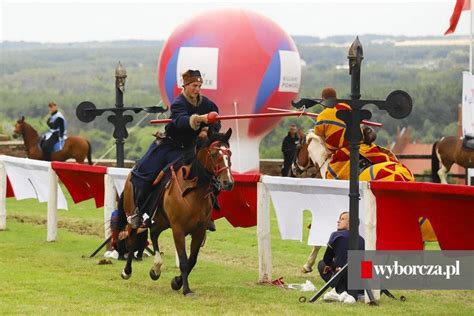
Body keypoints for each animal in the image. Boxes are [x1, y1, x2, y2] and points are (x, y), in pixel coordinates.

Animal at [115, 128, 233, 296]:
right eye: (214, 154)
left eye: (229, 154)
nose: (228, 182)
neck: (192, 190)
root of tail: (131, 173)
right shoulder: (178, 229)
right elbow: (183, 260)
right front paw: (186, 289)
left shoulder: (199, 231)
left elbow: (192, 260)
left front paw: (177, 282)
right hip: (134, 216)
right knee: (132, 239)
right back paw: (127, 271)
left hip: (162, 221)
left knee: (153, 234)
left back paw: (156, 269)